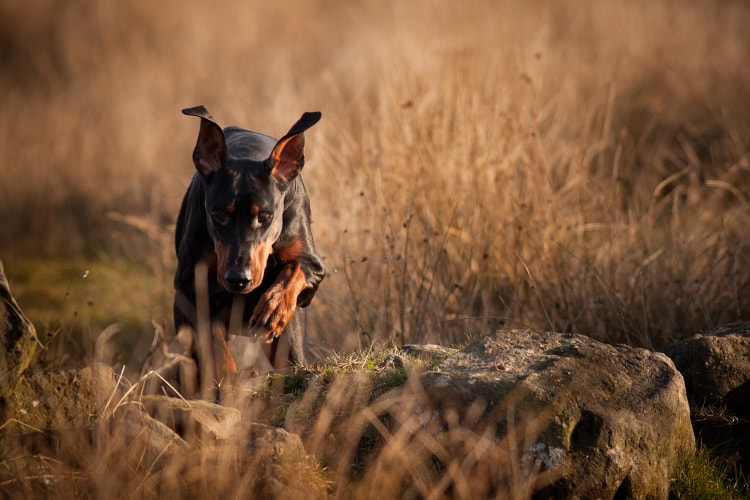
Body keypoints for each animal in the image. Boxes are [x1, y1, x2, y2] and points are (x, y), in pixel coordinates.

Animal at [176, 105, 328, 394]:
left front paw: (273, 308)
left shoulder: (313, 265)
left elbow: (295, 269)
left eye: (265, 216)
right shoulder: (190, 285)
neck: (250, 151)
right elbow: (212, 337)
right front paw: (230, 375)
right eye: (219, 215)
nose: (238, 279)